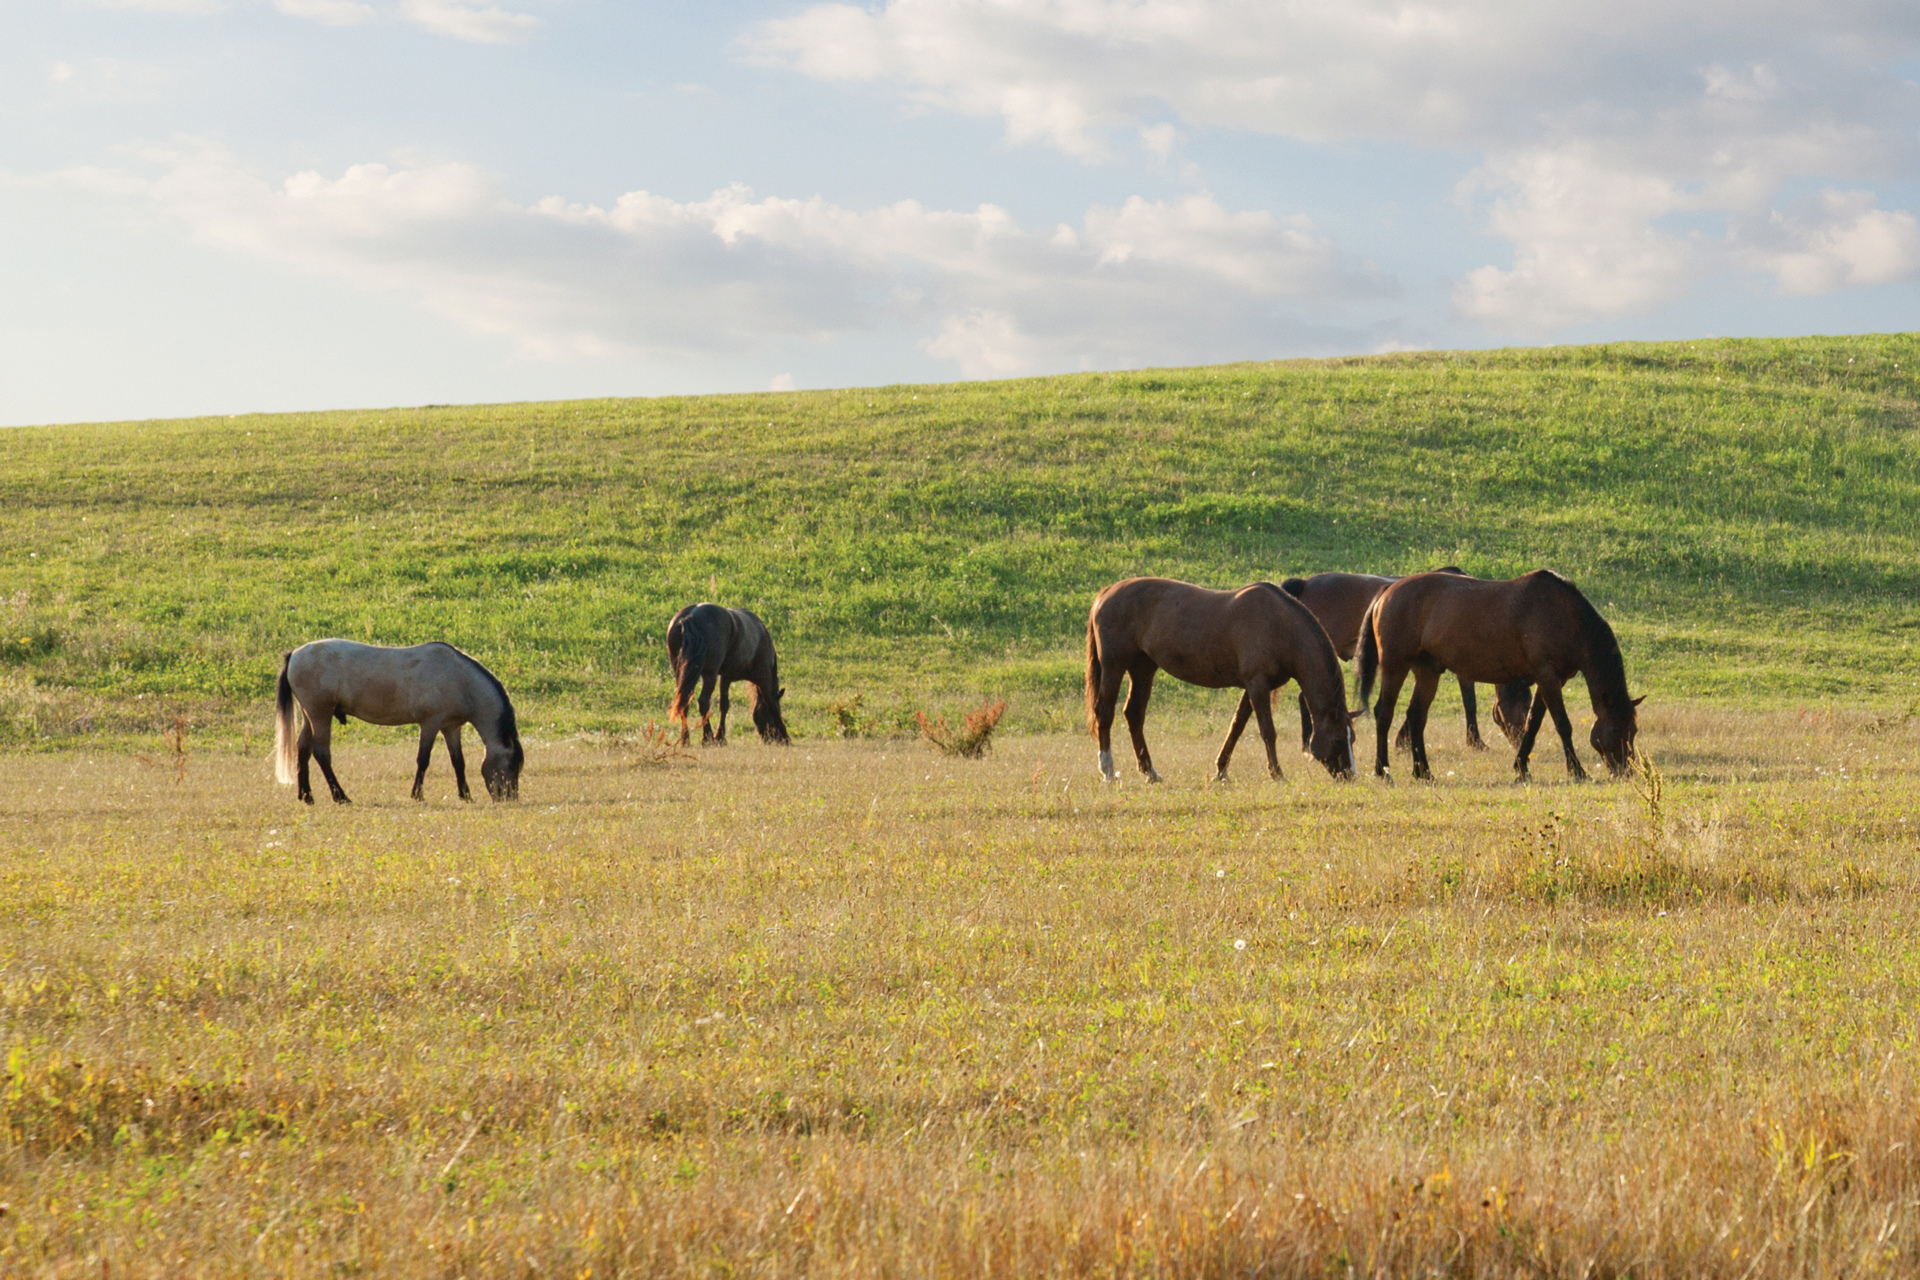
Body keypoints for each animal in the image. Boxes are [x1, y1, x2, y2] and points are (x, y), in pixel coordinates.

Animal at [273, 640, 524, 804]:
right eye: (511, 766)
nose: (509, 797)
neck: (459, 678)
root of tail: (294, 654)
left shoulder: (451, 727)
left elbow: (458, 761)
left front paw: (465, 795)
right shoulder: (430, 724)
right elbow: (423, 760)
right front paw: (417, 795)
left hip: (310, 716)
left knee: (303, 750)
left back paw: (306, 796)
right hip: (320, 715)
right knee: (321, 753)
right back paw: (340, 796)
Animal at [667, 603, 789, 746]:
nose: (772, 739)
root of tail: (689, 617)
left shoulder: (725, 677)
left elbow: (724, 705)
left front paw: (720, 737)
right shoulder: (763, 678)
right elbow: (772, 703)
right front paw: (786, 737)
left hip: (682, 674)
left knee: (685, 702)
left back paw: (685, 739)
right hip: (709, 674)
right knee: (703, 702)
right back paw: (707, 737)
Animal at [1085, 577, 1357, 783]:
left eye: (1352, 738)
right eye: (1338, 739)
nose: (1350, 776)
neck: (1279, 624)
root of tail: (1107, 592)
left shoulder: (1253, 687)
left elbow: (1236, 727)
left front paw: (1221, 770)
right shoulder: (1257, 684)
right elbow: (1268, 731)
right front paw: (1277, 774)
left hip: (1143, 669)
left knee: (1134, 714)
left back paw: (1150, 772)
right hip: (1114, 666)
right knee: (1105, 712)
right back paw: (1108, 771)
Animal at [1281, 569, 1533, 753]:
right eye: (1523, 705)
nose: (1521, 740)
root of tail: (1304, 583)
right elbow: (1468, 702)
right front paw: (1475, 742)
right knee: (1305, 698)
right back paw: (1307, 742)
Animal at [1357, 570, 1642, 781]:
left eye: (1634, 730)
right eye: (1615, 729)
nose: (1626, 770)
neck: (1562, 614)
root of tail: (1386, 593)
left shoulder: (1551, 680)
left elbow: (1532, 723)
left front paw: (1522, 767)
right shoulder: (1548, 676)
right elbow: (1563, 724)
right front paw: (1577, 771)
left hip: (1428, 672)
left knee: (1416, 717)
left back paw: (1423, 772)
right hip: (1395, 667)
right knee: (1384, 713)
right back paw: (1382, 770)